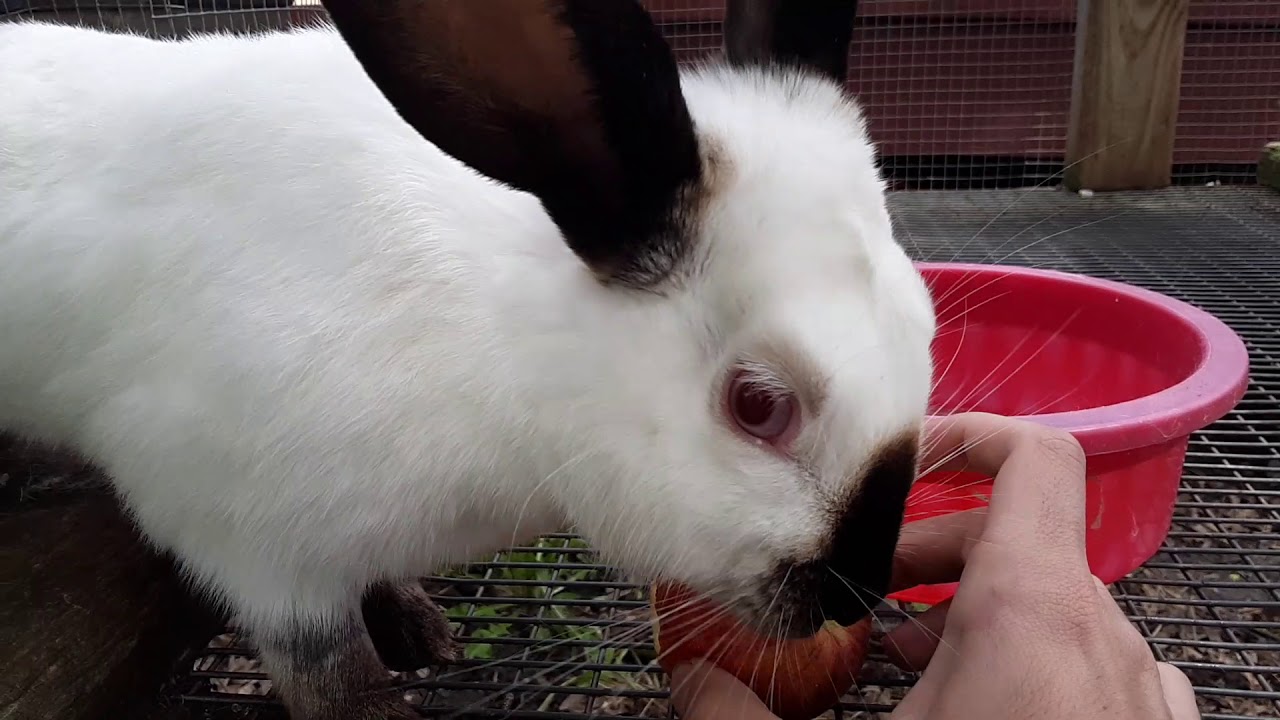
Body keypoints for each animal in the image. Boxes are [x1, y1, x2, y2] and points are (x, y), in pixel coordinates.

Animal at [0, 0, 938, 718]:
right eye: (757, 405)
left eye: (924, 325)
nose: (856, 592)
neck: (506, 348)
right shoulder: (251, 544)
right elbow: (324, 670)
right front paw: (380, 703)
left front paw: (415, 623)